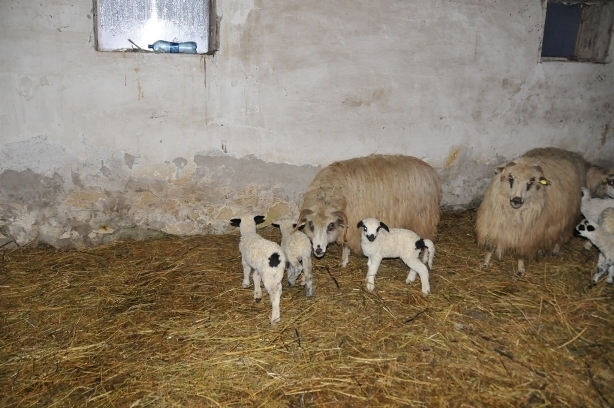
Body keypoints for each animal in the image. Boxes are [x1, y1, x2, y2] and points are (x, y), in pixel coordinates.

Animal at [298, 154, 442, 268]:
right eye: (311, 225)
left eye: (331, 226)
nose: (318, 250)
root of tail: (429, 170)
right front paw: (344, 261)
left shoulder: (353, 224)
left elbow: (347, 244)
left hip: (424, 216)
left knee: (428, 238)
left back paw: (425, 258)